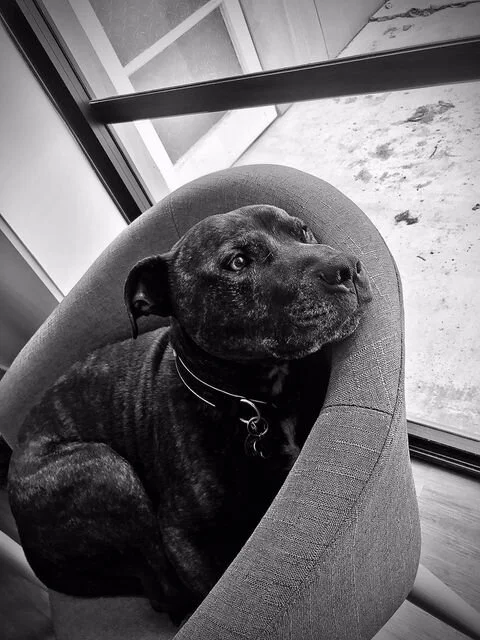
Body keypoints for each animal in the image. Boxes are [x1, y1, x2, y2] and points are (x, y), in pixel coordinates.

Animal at [8, 204, 372, 624]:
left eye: (304, 231)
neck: (253, 402)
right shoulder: (181, 537)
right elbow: (206, 585)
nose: (346, 267)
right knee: (163, 593)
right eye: (237, 262)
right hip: (106, 471)